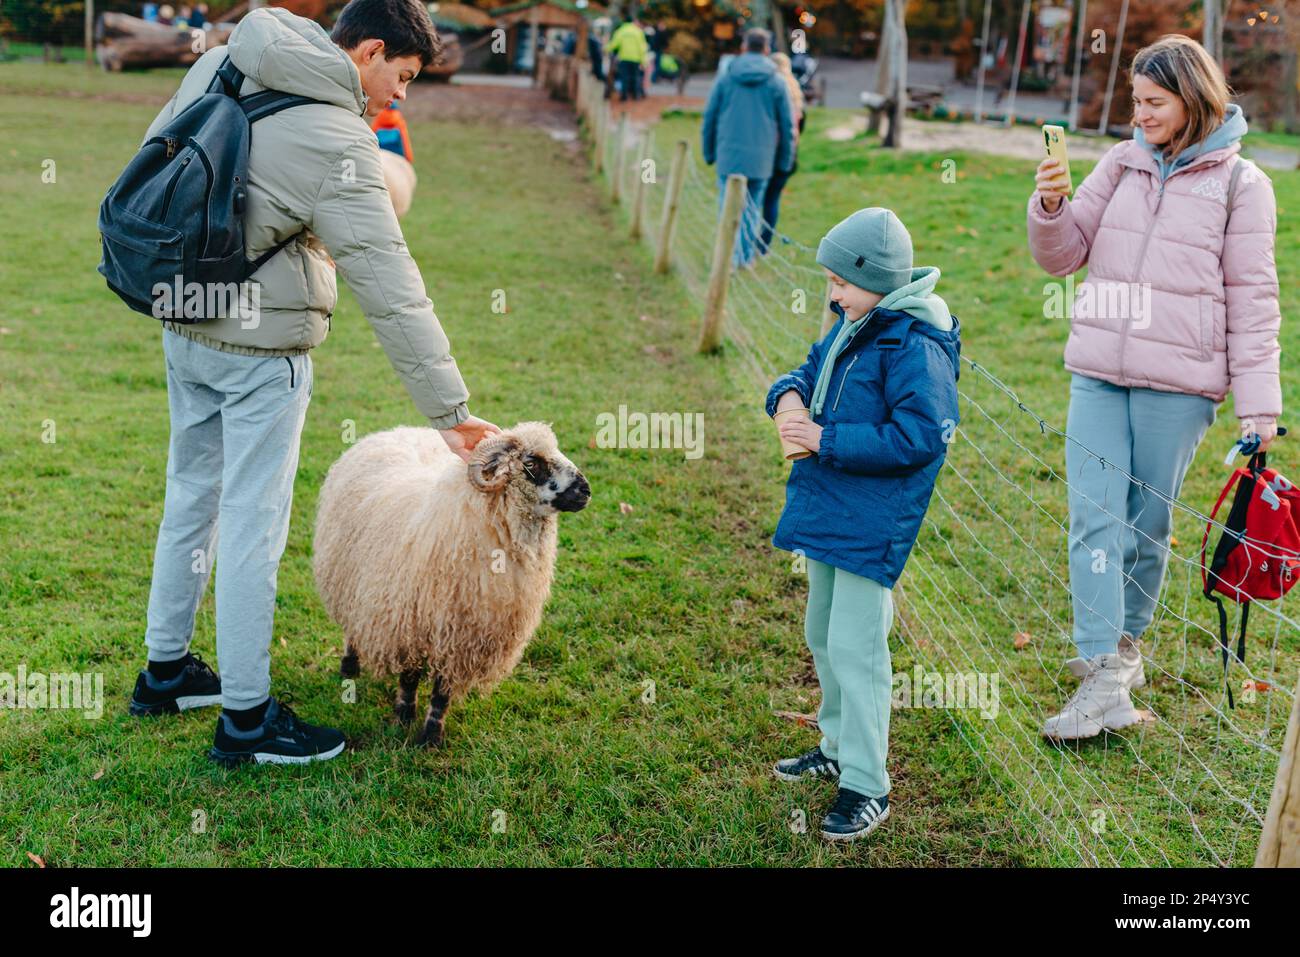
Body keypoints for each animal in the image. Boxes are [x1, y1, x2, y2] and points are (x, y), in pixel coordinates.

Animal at [317, 421, 592, 748]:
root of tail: (392, 431)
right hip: (351, 580)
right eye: (532, 463)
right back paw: (349, 667)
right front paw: (403, 718)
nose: (586, 490)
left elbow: (442, 692)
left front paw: (431, 737)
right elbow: (409, 677)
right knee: (351, 628)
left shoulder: (464, 636)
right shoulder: (410, 621)